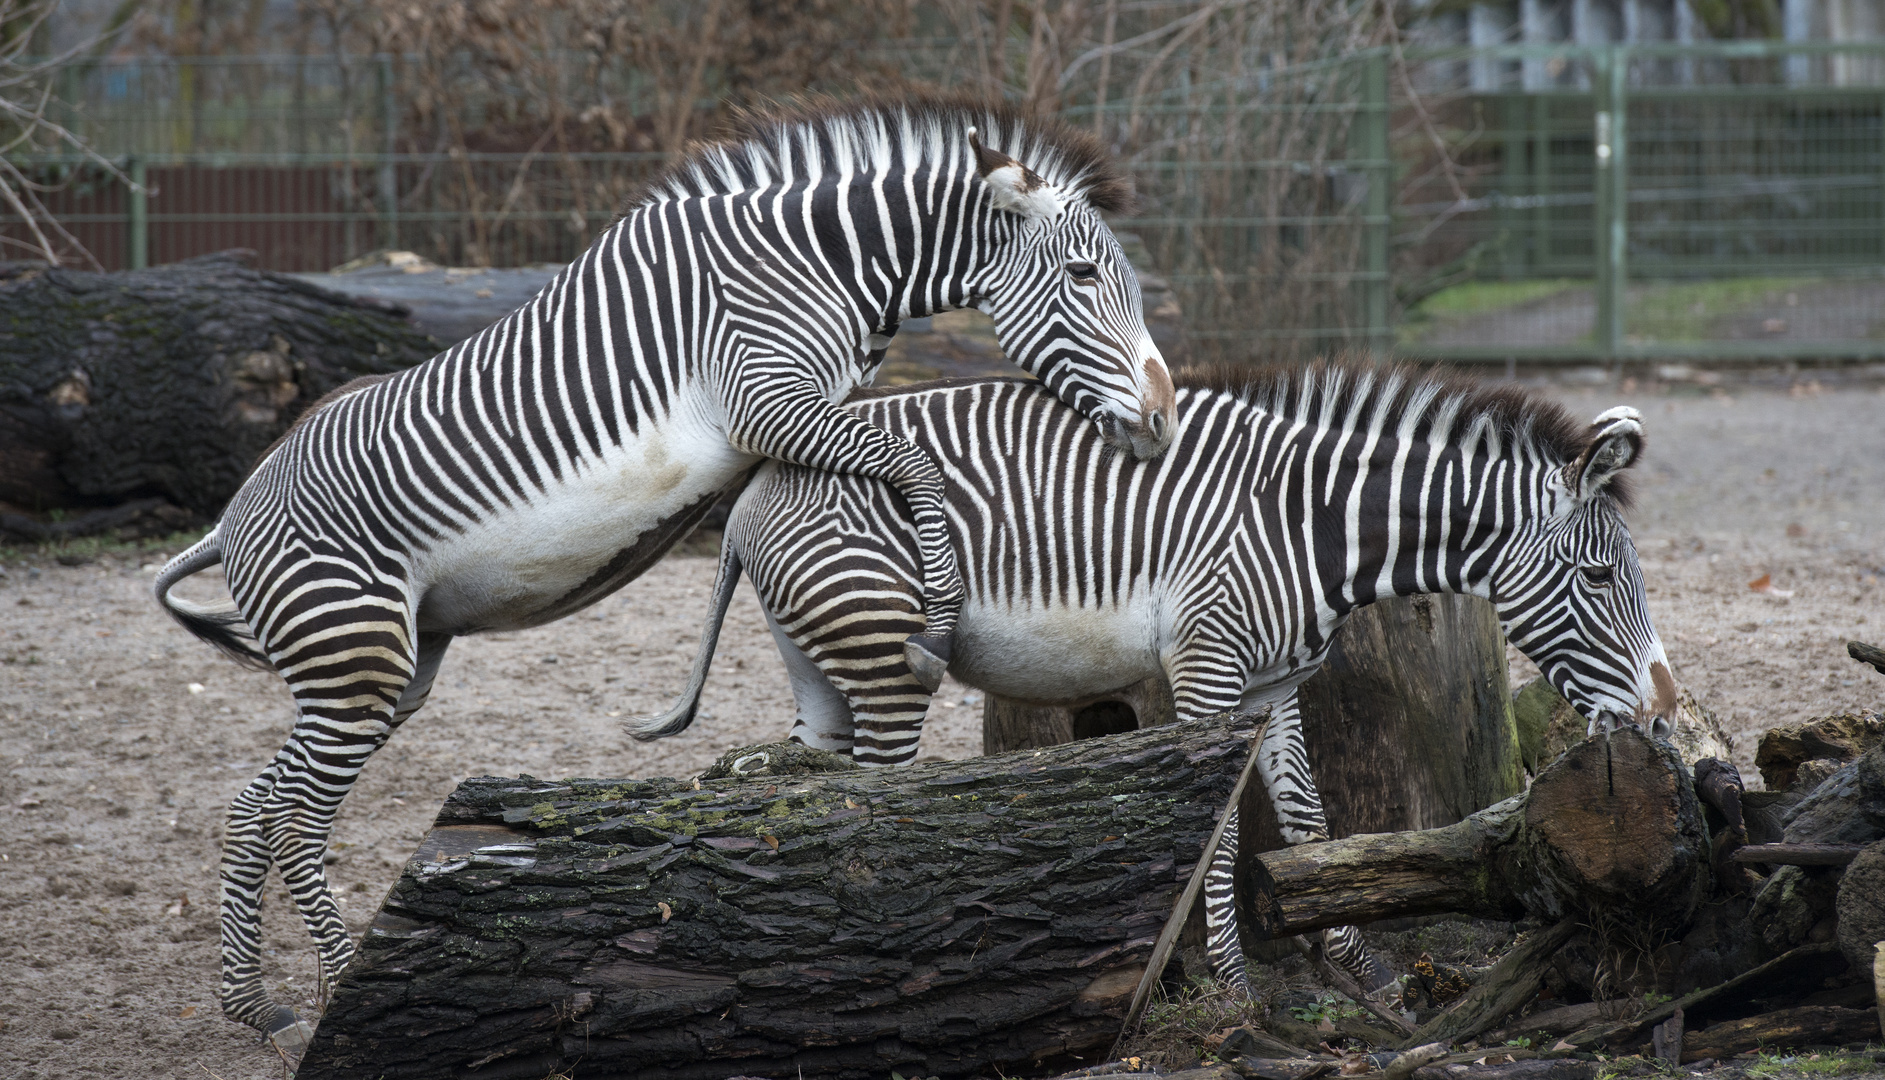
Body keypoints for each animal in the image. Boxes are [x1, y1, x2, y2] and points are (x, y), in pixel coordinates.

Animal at [150, 97, 1176, 1040]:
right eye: (1085, 274)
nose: (1163, 422)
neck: (822, 262)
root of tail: (229, 520)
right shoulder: (768, 403)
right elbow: (912, 464)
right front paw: (934, 614)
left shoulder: (811, 414)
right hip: (354, 655)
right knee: (291, 818)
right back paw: (326, 992)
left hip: (389, 668)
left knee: (258, 805)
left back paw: (257, 1003)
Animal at [637, 365, 1681, 995]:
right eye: (1600, 577)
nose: (1662, 714)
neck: (1309, 525)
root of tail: (754, 490)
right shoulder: (1209, 671)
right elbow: (1217, 837)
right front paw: (1234, 988)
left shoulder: (1272, 684)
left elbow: (1308, 820)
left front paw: (1364, 970)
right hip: (884, 654)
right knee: (874, 808)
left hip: (816, 663)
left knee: (815, 792)